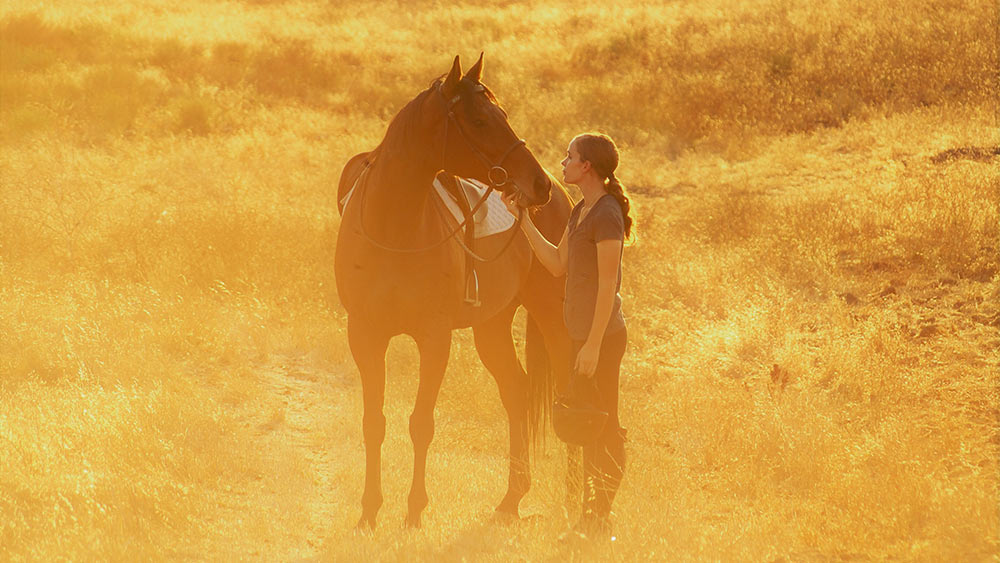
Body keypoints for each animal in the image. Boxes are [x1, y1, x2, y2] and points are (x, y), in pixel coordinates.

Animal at [334, 55, 572, 532]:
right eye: (479, 120)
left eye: (503, 114)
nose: (538, 184)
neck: (394, 227)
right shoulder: (365, 335)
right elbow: (374, 422)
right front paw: (370, 510)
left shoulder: (434, 338)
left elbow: (421, 423)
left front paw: (414, 510)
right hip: (492, 327)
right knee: (516, 391)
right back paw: (511, 498)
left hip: (551, 316)